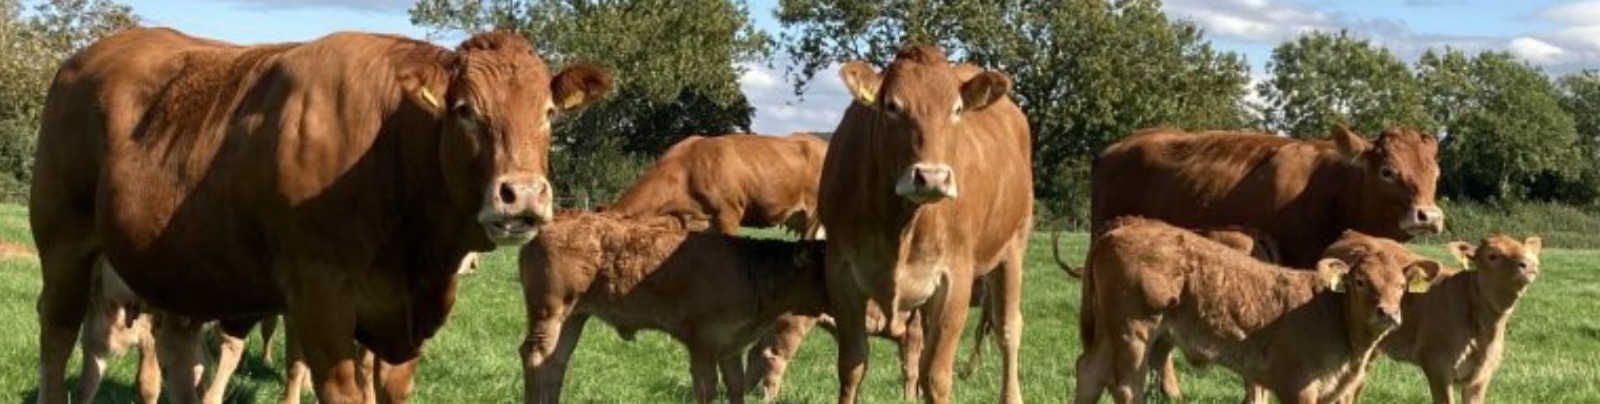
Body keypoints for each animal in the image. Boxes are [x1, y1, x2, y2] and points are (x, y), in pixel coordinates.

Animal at [31, 28, 611, 404]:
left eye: (548, 113)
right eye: (465, 110)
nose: (523, 195)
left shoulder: (403, 325)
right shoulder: (319, 300)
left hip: (181, 270)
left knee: (177, 351)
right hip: (64, 243)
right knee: (58, 336)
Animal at [518, 212, 829, 404]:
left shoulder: (731, 345)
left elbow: (736, 387)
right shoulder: (703, 342)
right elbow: (706, 388)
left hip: (574, 315)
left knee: (555, 361)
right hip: (550, 309)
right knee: (535, 356)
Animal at [818, 45, 1032, 403]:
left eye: (956, 109)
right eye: (892, 106)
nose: (932, 177)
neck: (898, 225)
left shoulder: (955, 278)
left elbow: (935, 376)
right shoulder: (841, 271)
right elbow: (852, 366)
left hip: (1013, 246)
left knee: (1008, 329)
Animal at [1072, 218, 1441, 404]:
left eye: (1402, 286)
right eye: (1361, 281)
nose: (1387, 313)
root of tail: (1115, 233)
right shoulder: (1298, 387)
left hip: (1110, 333)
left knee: (1089, 372)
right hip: (1134, 331)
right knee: (1125, 386)